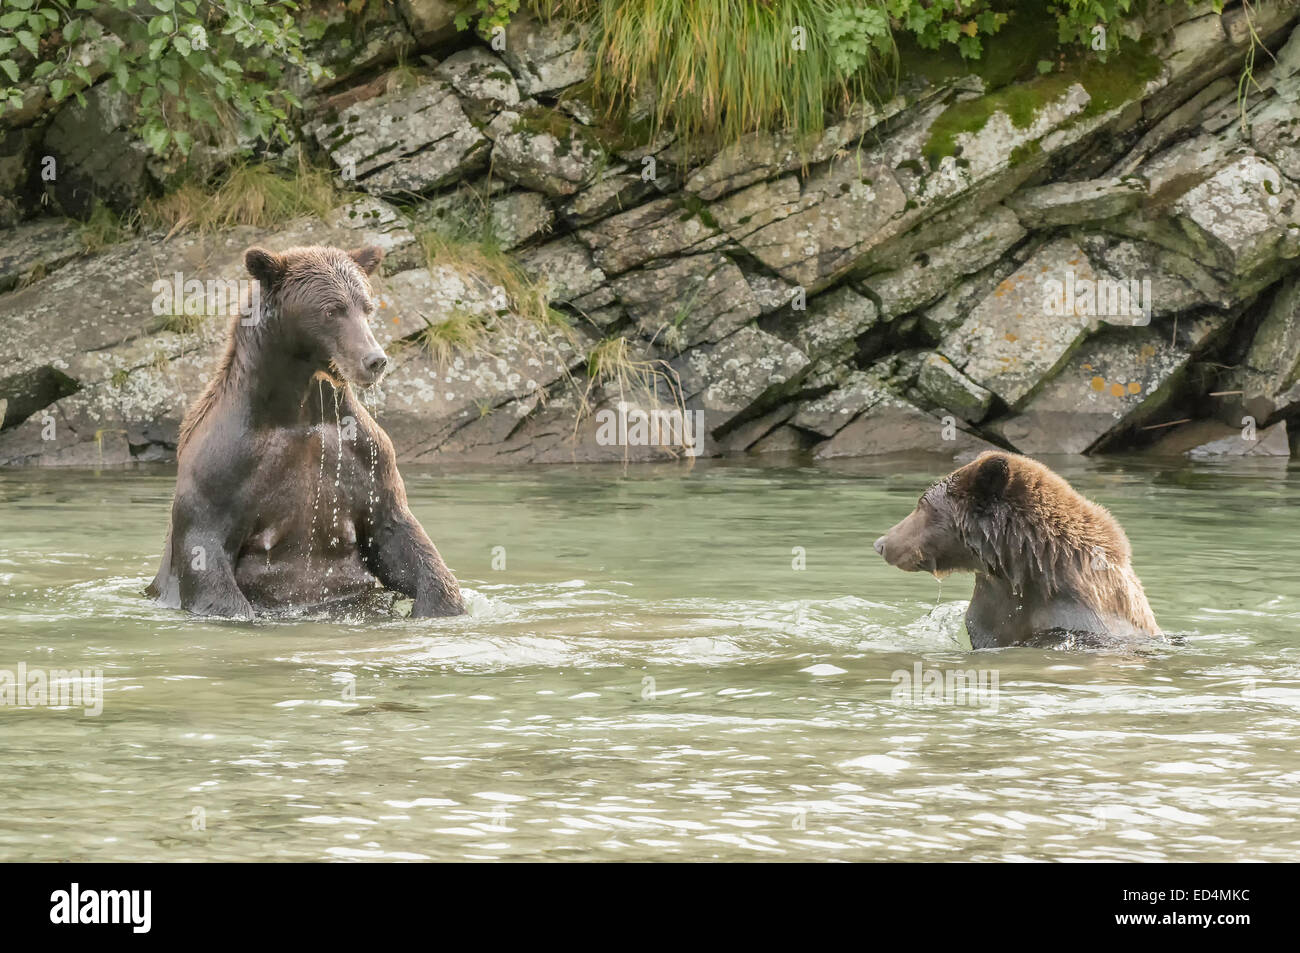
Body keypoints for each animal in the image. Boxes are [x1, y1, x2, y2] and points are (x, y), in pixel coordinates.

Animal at [146, 241, 467, 621]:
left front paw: (439, 603)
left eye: (366, 307)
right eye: (332, 310)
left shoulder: (366, 455)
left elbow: (398, 536)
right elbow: (204, 549)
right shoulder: (221, 466)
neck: (298, 410)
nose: (375, 360)